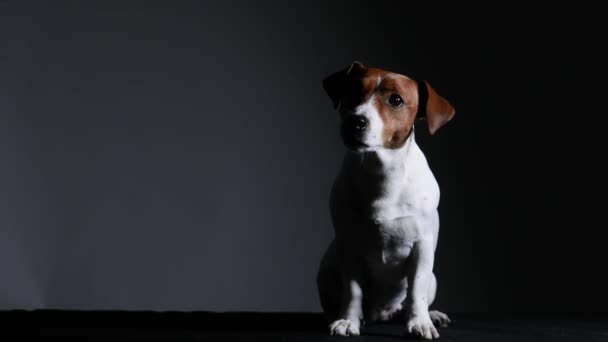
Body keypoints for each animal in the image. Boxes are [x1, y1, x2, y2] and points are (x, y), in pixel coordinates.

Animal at [316, 62, 454, 340]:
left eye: (396, 100)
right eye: (353, 90)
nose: (355, 121)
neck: (382, 172)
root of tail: (382, 313)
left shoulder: (422, 247)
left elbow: (416, 289)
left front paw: (420, 321)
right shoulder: (349, 247)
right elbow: (353, 291)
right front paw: (348, 321)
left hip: (433, 278)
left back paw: (428, 314)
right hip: (326, 269)